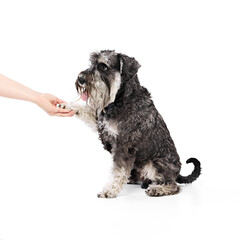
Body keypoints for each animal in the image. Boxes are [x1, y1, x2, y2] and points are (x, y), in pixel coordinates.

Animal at [59, 49, 201, 198]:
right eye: (92, 63)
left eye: (104, 66)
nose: (81, 79)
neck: (122, 100)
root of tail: (178, 172)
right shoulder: (100, 122)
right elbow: (87, 110)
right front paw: (67, 105)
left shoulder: (124, 145)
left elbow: (118, 171)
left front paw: (110, 189)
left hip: (154, 164)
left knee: (173, 185)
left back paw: (157, 189)